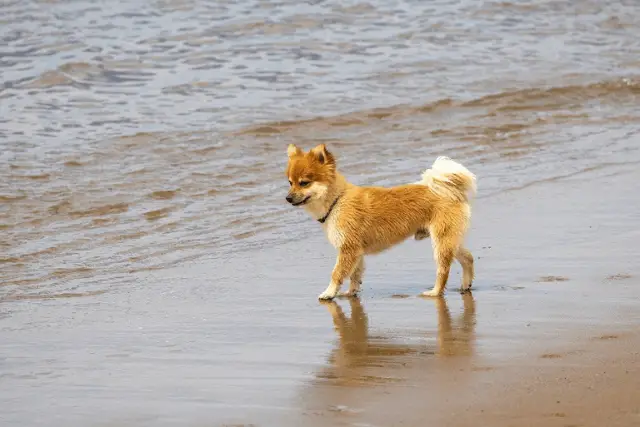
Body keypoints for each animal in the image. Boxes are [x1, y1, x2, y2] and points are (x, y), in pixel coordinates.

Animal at [284, 144, 476, 300]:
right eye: (290, 182)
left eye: (304, 183)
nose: (287, 198)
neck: (337, 201)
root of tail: (452, 191)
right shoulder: (356, 251)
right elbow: (355, 274)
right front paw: (351, 292)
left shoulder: (348, 249)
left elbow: (337, 273)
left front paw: (329, 293)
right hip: (450, 240)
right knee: (468, 258)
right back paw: (465, 285)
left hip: (441, 242)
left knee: (443, 270)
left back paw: (435, 292)